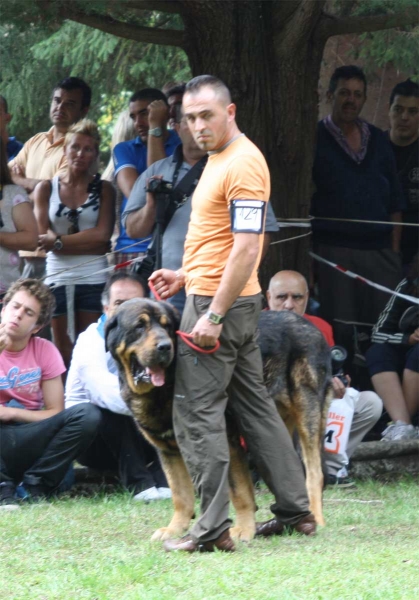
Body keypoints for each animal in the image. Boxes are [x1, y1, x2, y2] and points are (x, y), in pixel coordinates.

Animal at [106, 300, 334, 540]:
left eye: (167, 327)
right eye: (139, 326)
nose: (165, 347)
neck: (164, 389)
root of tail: (310, 325)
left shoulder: (226, 440)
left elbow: (239, 491)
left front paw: (243, 529)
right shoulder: (168, 449)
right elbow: (180, 495)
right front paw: (175, 529)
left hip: (307, 410)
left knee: (314, 473)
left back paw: (315, 518)